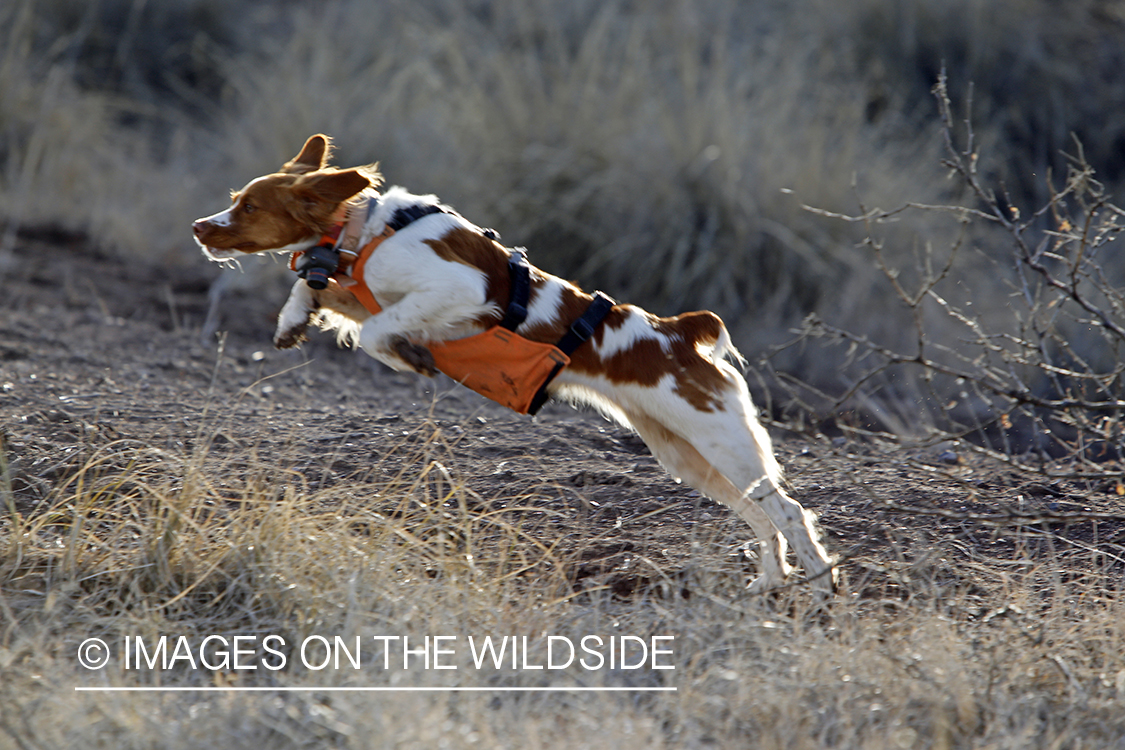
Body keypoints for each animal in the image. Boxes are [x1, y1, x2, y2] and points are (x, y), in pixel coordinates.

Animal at [195, 133, 837, 593]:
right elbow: (320, 289)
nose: (201, 226)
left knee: (788, 509)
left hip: (723, 442)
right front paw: (292, 320)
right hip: (688, 456)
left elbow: (379, 327)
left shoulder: (459, 289)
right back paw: (770, 583)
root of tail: (678, 333)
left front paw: (410, 356)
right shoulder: (362, 286)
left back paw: (820, 584)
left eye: (249, 207)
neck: (367, 229)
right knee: (760, 515)